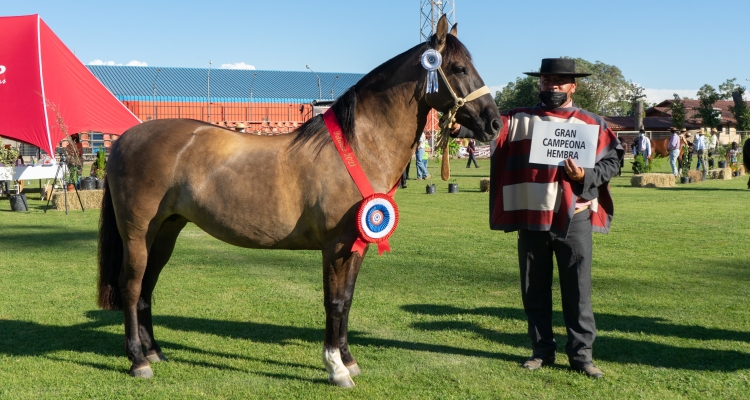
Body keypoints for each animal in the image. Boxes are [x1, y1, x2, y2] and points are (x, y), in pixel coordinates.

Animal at [97, 16, 502, 388]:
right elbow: (333, 301)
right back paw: (138, 361)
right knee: (131, 287)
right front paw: (336, 368)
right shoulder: (336, 245)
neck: (358, 147)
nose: (495, 124)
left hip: (165, 231)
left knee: (147, 287)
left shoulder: (357, 244)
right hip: (137, 234)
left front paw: (349, 359)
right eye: (459, 68)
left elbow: (347, 299)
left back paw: (155, 351)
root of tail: (124, 139)